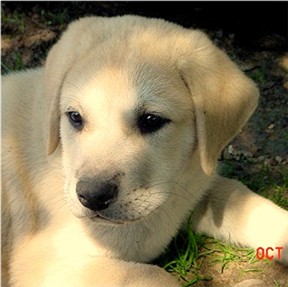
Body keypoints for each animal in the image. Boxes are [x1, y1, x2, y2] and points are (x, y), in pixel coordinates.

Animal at [2, 15, 288, 287]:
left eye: (151, 120)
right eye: (74, 117)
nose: (92, 196)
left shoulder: (194, 185)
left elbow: (243, 200)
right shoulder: (47, 264)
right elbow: (155, 275)